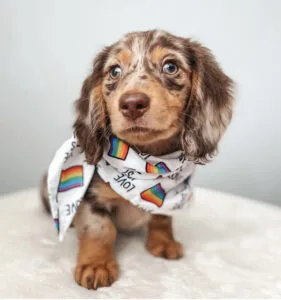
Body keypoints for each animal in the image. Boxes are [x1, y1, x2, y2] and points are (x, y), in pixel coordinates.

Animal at [40, 29, 233, 290]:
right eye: (114, 71)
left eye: (170, 66)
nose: (132, 104)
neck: (147, 162)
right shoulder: (91, 197)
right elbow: (99, 230)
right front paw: (96, 264)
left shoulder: (167, 197)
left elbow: (162, 219)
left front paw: (163, 242)